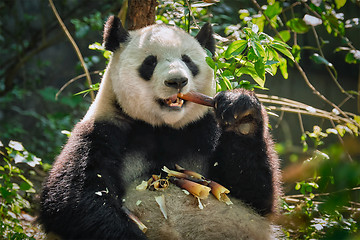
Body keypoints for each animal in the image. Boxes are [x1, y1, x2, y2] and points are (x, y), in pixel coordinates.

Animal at [39, 15, 282, 239]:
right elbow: (76, 198)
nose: (177, 81)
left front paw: (241, 112)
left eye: (188, 61)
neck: (163, 126)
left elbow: (253, 195)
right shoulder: (104, 130)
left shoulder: (204, 128)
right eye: (150, 62)